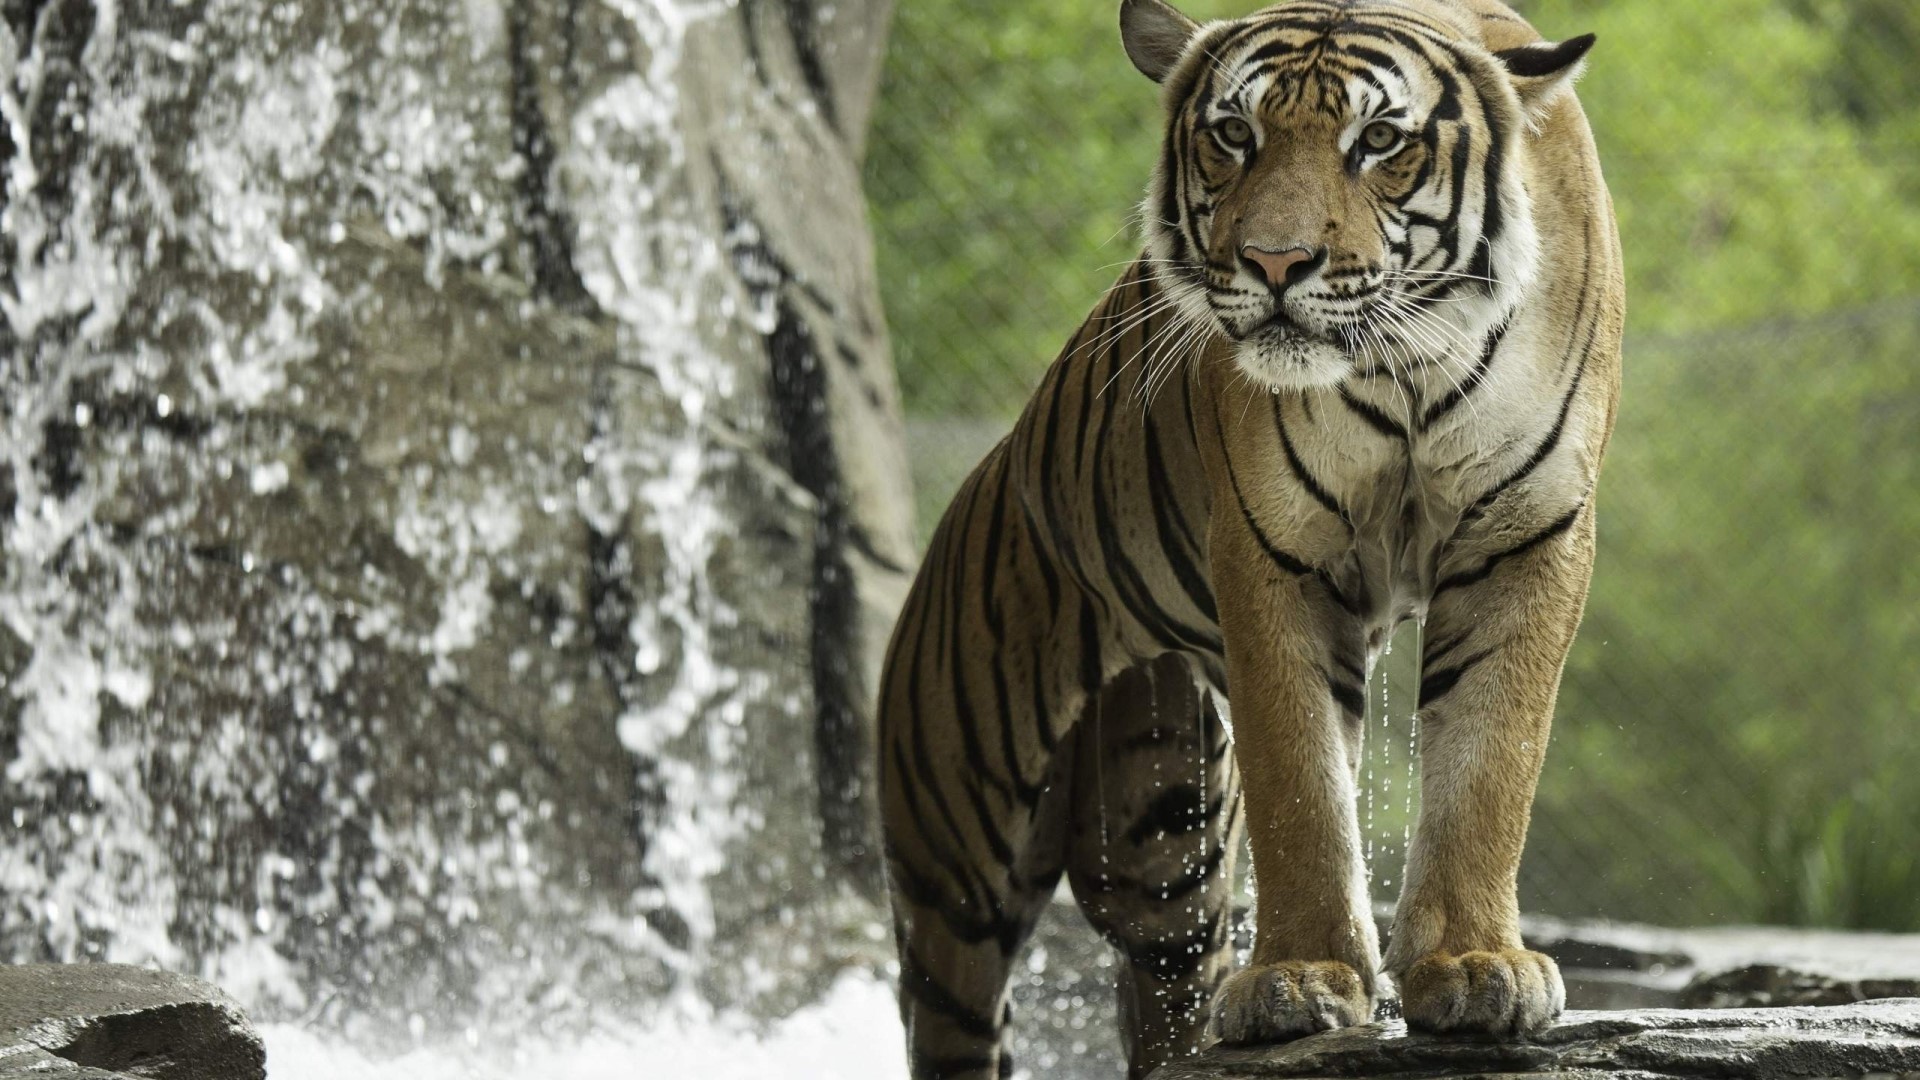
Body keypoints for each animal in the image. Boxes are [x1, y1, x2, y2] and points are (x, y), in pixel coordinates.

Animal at [877, 0, 1624, 1076]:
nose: (1274, 263)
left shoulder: (1526, 537)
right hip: (955, 856)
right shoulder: (1275, 554)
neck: (1408, 367)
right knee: (957, 1014)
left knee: (1161, 999)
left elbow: (1490, 762)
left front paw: (1475, 967)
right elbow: (1301, 783)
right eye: (1234, 135)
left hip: (1163, 846)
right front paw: (1301, 980)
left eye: (1379, 142)